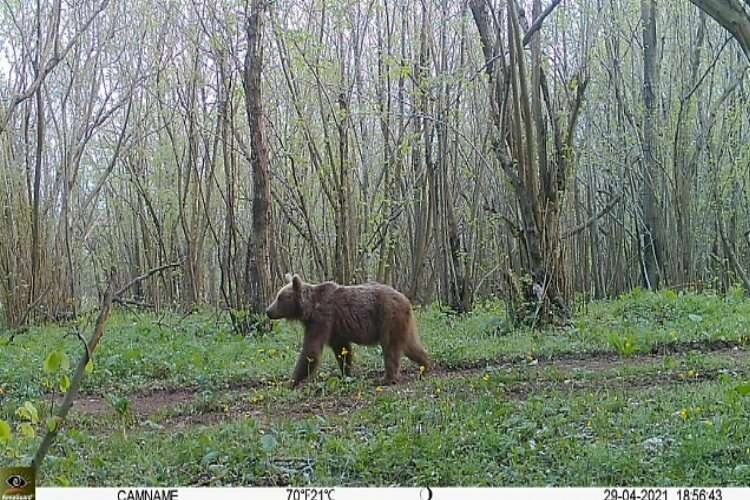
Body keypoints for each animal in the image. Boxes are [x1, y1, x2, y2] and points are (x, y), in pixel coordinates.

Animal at [266, 274, 428, 386]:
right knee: (411, 345)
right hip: (403, 323)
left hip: (388, 317)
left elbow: (311, 351)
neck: (309, 309)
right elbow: (342, 350)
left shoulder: (322, 319)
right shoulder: (335, 328)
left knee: (391, 348)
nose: (268, 311)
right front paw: (346, 373)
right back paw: (425, 365)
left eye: (280, 298)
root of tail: (406, 299)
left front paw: (291, 381)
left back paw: (386, 378)